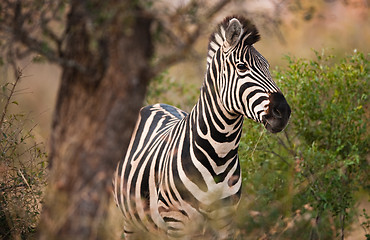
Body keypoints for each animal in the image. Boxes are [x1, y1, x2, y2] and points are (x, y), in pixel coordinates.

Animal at [113, 15, 292, 239]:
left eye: (268, 66)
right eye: (241, 67)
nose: (283, 111)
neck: (220, 154)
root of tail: (154, 104)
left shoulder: (225, 221)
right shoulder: (177, 222)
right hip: (130, 220)